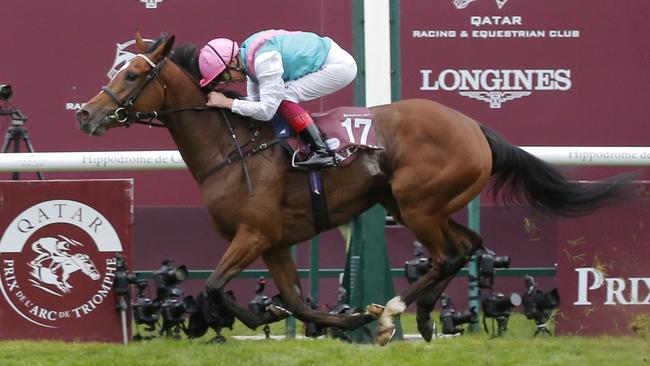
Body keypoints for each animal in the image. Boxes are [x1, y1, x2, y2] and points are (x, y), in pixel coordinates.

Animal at [74, 33, 628, 344]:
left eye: (134, 74)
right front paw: (324, 320)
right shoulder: (275, 241)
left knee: (448, 255)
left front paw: (262, 317)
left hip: (417, 205)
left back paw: (397, 313)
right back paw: (422, 316)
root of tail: (474, 126)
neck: (232, 148)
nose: (85, 114)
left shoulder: (254, 233)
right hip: (417, 205)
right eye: (117, 69)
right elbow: (296, 302)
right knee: (469, 246)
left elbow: (212, 286)